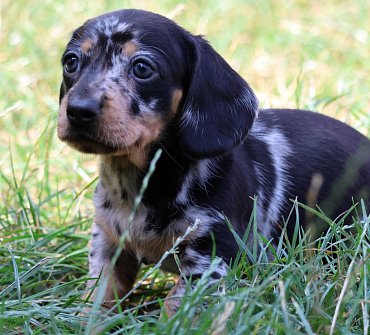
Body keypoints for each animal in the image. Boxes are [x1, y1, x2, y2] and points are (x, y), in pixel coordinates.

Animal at [57, 8, 370, 318]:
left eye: (142, 68)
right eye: (70, 61)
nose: (78, 110)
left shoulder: (213, 257)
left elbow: (174, 306)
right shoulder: (108, 244)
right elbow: (97, 299)